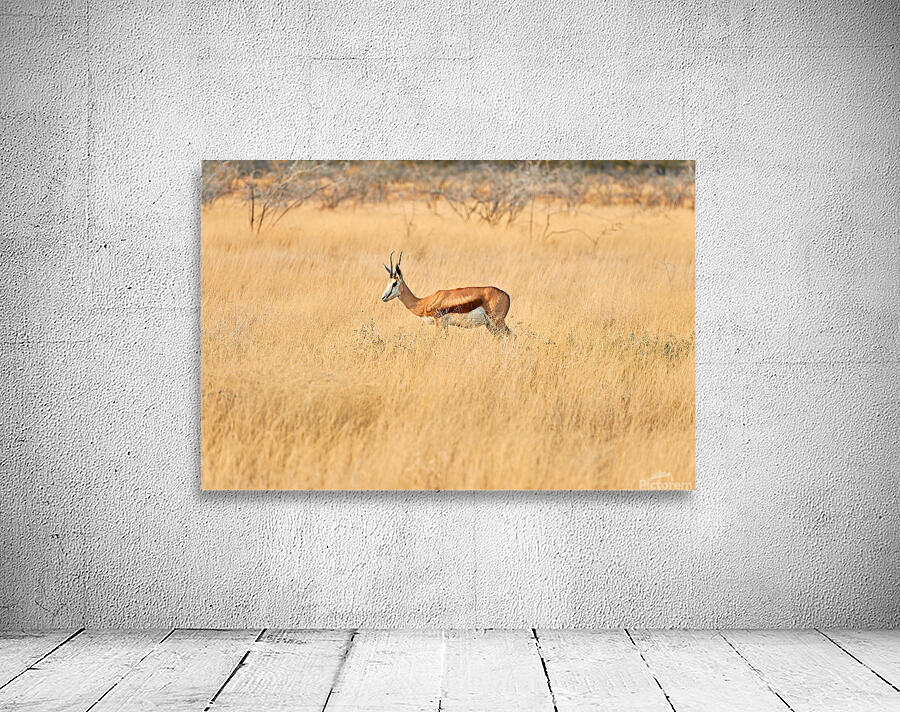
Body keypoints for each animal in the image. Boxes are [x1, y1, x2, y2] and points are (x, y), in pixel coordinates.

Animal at [381, 252, 512, 338]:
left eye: (394, 283)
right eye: (388, 282)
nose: (383, 297)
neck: (424, 302)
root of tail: (506, 295)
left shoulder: (439, 322)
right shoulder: (445, 325)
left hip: (497, 321)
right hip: (490, 325)